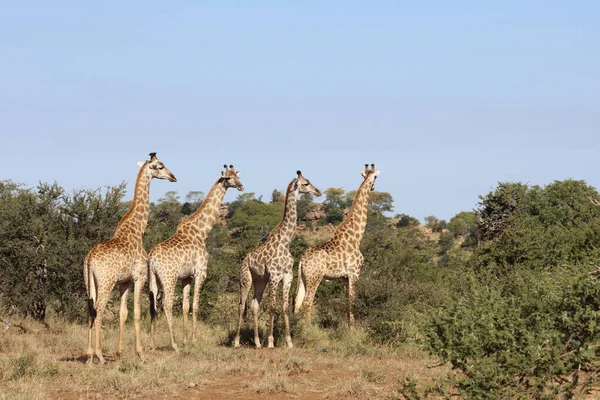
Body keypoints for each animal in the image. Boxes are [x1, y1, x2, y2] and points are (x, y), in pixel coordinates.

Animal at [85, 152, 178, 364]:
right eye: (160, 166)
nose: (173, 177)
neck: (137, 231)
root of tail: (89, 259)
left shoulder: (124, 282)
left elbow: (122, 314)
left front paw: (119, 353)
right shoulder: (139, 277)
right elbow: (136, 313)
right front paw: (140, 353)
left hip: (90, 283)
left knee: (90, 311)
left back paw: (89, 355)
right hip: (105, 282)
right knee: (99, 310)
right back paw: (99, 356)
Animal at [148, 163, 244, 350]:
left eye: (238, 176)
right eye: (228, 178)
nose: (241, 186)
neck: (202, 231)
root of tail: (153, 259)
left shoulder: (186, 277)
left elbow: (185, 306)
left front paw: (186, 340)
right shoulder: (200, 273)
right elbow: (196, 305)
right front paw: (193, 339)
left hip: (153, 279)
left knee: (153, 305)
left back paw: (153, 344)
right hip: (169, 278)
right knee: (166, 304)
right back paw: (173, 344)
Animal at [233, 170, 322, 348]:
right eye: (306, 183)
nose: (318, 192)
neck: (285, 241)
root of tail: (245, 259)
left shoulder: (287, 276)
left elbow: (285, 307)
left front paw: (289, 341)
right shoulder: (274, 276)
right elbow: (273, 307)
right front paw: (271, 341)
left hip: (260, 280)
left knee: (254, 306)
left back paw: (257, 343)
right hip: (246, 278)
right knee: (241, 305)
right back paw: (237, 341)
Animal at [294, 164, 380, 326]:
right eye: (376, 177)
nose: (373, 187)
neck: (356, 237)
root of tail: (302, 260)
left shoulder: (344, 278)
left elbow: (346, 302)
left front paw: (348, 326)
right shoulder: (354, 273)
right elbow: (353, 301)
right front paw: (353, 328)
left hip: (302, 278)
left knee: (297, 301)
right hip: (315, 277)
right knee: (307, 301)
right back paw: (308, 328)